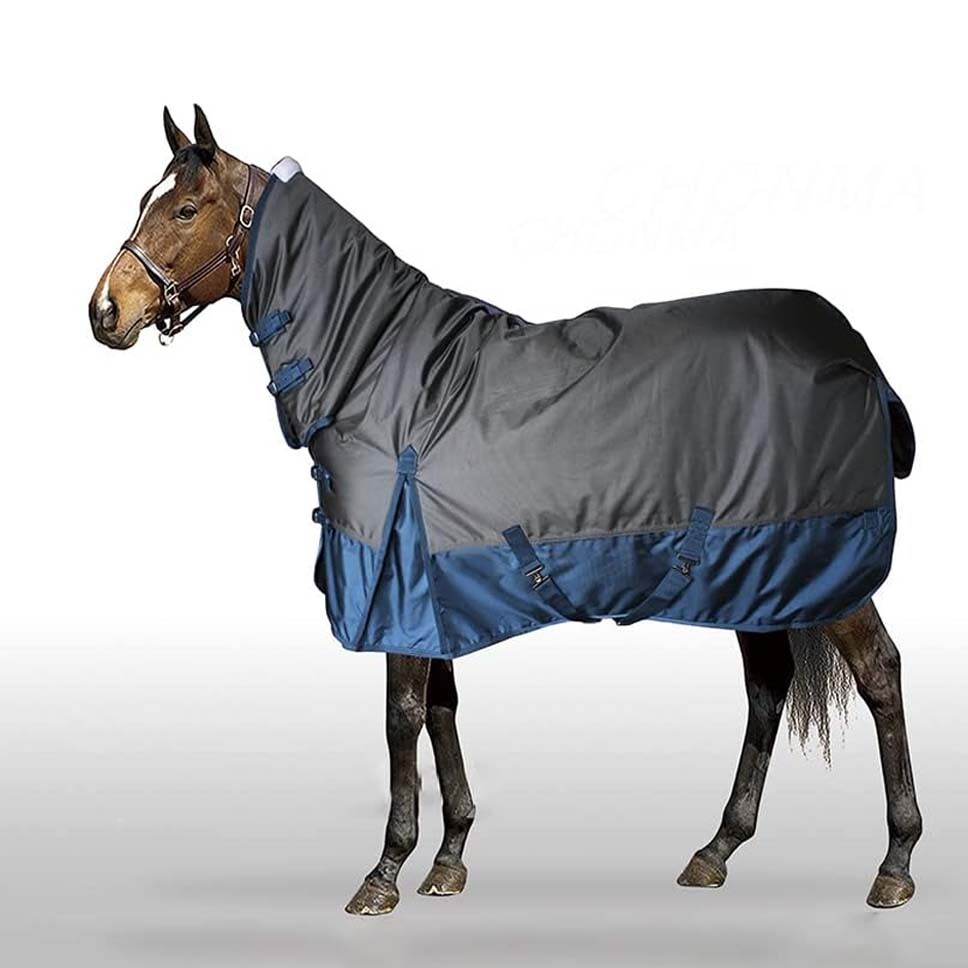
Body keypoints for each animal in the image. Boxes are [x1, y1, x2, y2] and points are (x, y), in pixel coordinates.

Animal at [88, 105, 922, 915]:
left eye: (185, 208)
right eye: (142, 201)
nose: (104, 311)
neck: (383, 372)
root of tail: (851, 347)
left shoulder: (395, 581)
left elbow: (401, 716)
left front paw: (384, 873)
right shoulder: (429, 584)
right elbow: (441, 709)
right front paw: (449, 857)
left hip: (818, 562)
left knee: (878, 673)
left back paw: (895, 863)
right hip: (757, 568)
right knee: (768, 686)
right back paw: (716, 851)